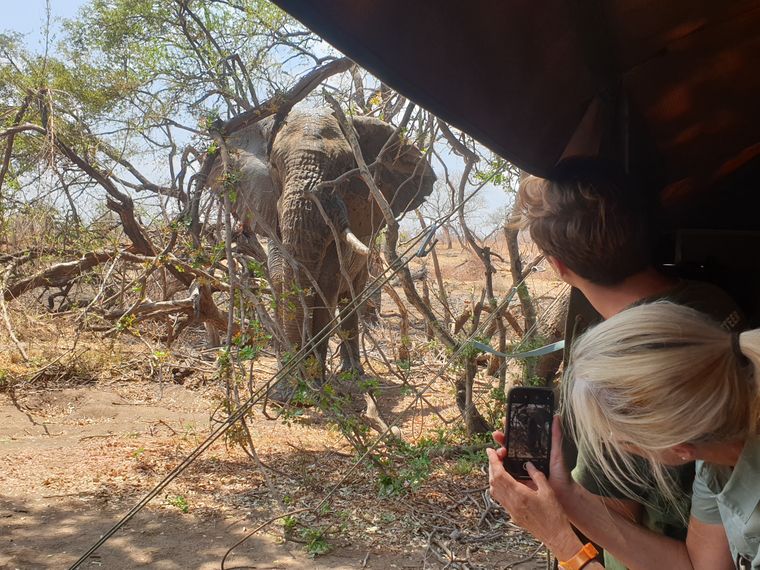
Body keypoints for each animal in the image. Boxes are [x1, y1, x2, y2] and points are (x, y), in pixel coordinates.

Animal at [210, 107, 435, 393]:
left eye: (347, 168)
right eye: (274, 166)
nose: (294, 385)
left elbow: (326, 287)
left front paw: (314, 385)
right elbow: (281, 279)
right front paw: (286, 390)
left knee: (349, 300)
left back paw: (353, 372)